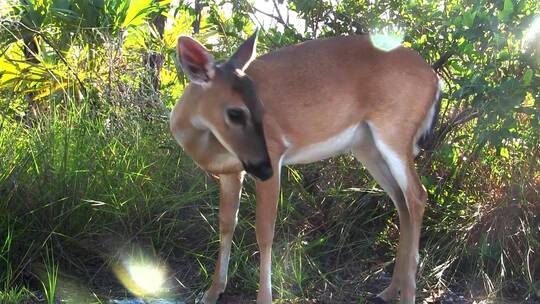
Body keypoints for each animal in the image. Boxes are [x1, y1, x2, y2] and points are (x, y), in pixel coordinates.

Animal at [171, 29, 440, 304]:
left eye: (262, 108)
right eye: (236, 113)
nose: (264, 169)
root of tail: (435, 79)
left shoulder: (274, 153)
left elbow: (264, 231)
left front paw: (264, 298)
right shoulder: (231, 172)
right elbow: (226, 224)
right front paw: (212, 291)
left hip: (394, 131)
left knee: (417, 195)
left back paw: (407, 292)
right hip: (367, 147)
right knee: (401, 201)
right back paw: (389, 290)